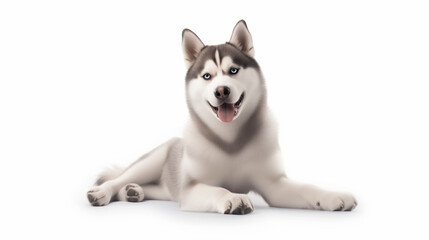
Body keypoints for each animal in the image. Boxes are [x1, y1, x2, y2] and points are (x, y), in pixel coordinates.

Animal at [86, 19, 354, 214]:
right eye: (207, 76)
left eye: (233, 71)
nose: (222, 90)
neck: (230, 139)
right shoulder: (191, 188)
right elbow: (217, 190)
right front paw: (234, 198)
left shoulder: (274, 184)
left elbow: (308, 188)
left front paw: (333, 195)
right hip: (152, 160)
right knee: (120, 178)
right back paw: (105, 192)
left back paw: (133, 192)